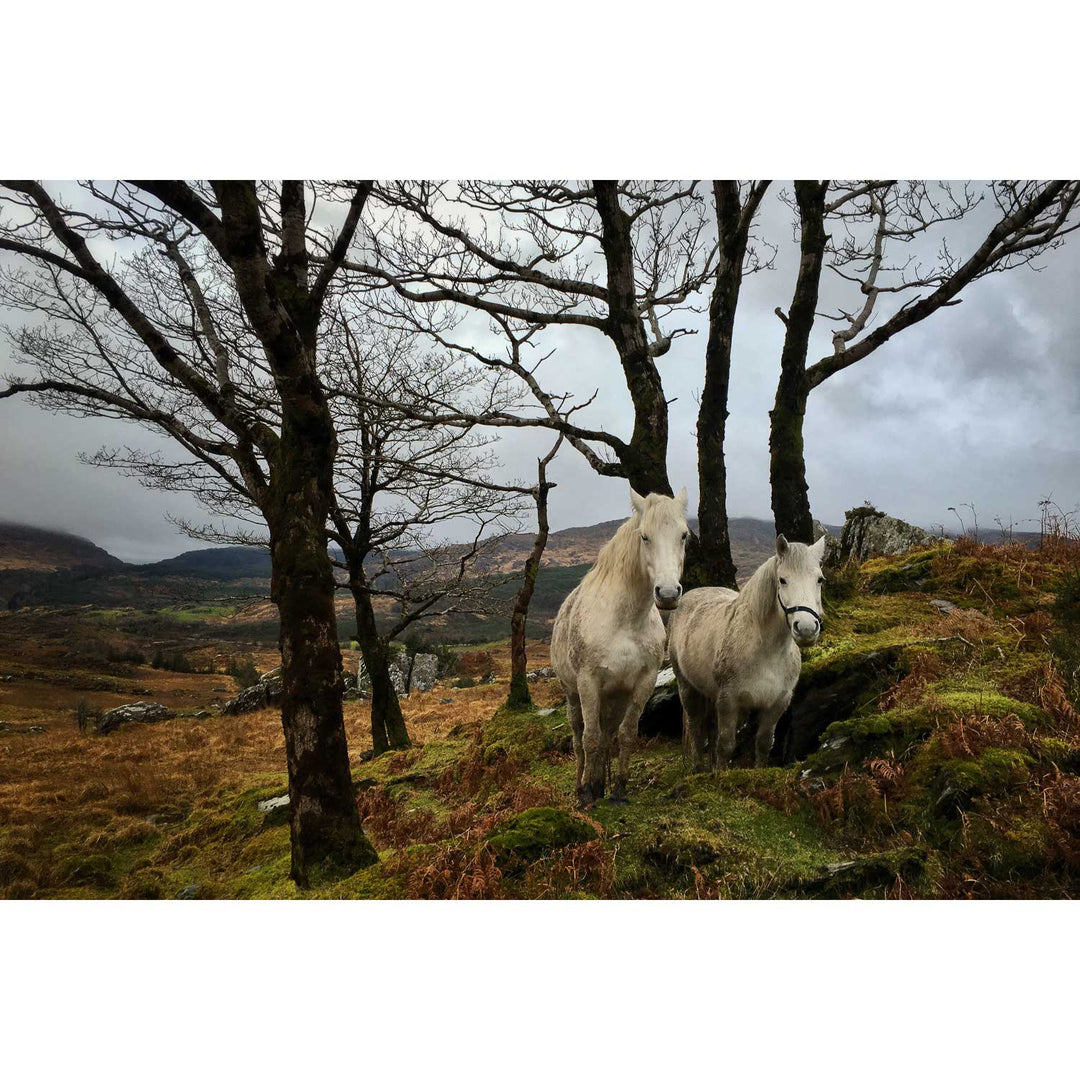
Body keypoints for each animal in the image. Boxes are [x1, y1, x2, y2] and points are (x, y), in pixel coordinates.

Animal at [552, 486, 686, 807]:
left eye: (684, 535)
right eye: (645, 536)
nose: (667, 593)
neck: (625, 621)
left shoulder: (643, 683)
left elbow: (625, 735)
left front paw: (618, 791)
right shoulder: (588, 682)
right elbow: (589, 738)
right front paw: (587, 795)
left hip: (614, 699)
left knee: (606, 736)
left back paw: (601, 785)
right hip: (573, 695)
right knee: (579, 740)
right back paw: (582, 786)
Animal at [665, 531, 825, 768]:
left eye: (819, 580)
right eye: (783, 580)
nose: (806, 628)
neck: (766, 653)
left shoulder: (776, 704)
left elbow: (764, 743)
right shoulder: (728, 701)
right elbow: (725, 745)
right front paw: (720, 772)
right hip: (687, 687)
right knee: (696, 728)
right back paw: (698, 767)